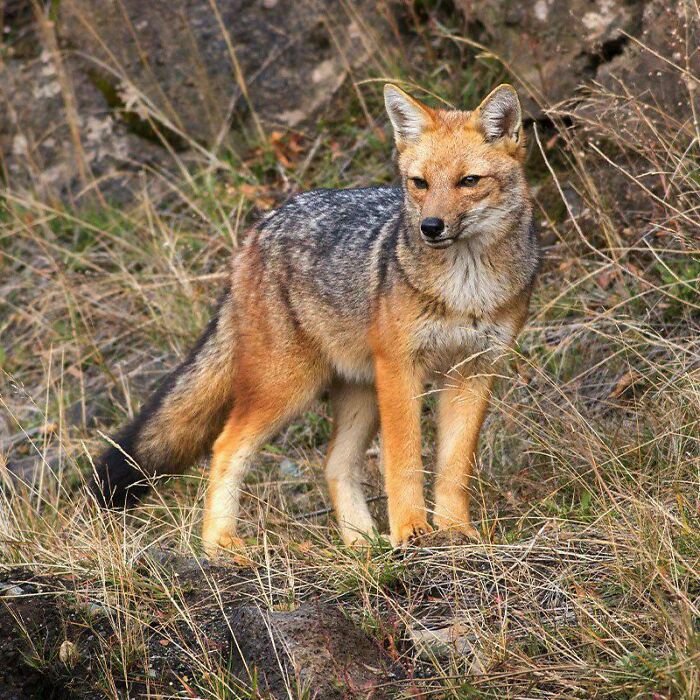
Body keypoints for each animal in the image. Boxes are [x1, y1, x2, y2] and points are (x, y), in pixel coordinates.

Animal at [91, 83, 539, 554]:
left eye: (468, 181)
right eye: (419, 183)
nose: (430, 227)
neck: (465, 290)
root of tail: (260, 226)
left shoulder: (475, 370)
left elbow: (454, 467)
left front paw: (455, 531)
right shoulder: (402, 369)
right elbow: (403, 461)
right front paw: (411, 531)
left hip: (360, 392)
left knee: (333, 464)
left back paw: (362, 546)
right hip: (291, 387)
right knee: (226, 445)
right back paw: (221, 545)